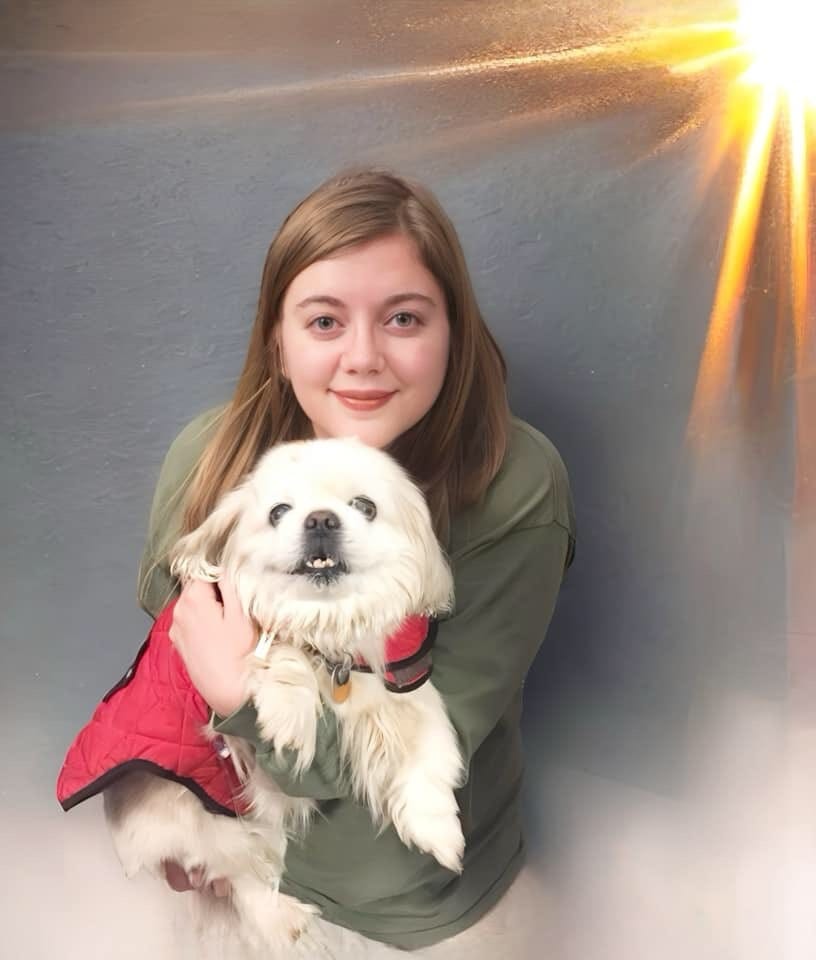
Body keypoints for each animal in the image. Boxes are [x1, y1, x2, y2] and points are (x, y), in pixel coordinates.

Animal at [102, 437, 465, 953]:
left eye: (365, 506)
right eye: (279, 512)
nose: (321, 519)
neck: (326, 630)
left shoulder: (398, 692)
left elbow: (428, 756)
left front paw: (439, 831)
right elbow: (279, 654)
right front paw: (289, 715)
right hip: (198, 815)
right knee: (239, 872)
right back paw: (284, 918)